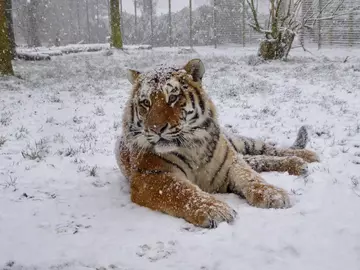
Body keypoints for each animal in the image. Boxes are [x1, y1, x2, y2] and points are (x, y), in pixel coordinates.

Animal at [114, 59, 320, 228]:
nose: (156, 129)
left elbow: (250, 177)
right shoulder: (151, 176)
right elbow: (183, 191)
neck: (192, 147)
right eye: (145, 103)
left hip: (239, 143)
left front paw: (273, 194)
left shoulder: (231, 162)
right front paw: (214, 209)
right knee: (259, 160)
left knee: (268, 149)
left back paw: (307, 157)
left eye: (172, 97)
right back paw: (298, 164)